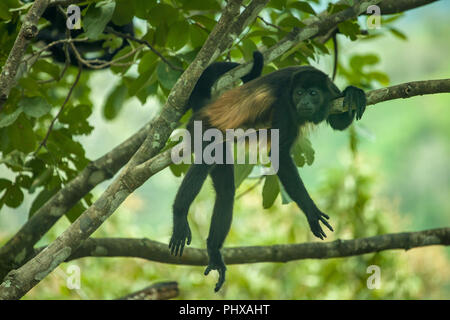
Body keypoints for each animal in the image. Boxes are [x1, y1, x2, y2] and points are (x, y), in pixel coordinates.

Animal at [169, 52, 366, 292]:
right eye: (299, 93)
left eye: (313, 93)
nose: (304, 102)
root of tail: (204, 109)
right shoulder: (285, 104)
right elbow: (279, 154)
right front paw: (311, 212)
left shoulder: (331, 92)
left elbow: (338, 122)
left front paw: (353, 93)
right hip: (200, 129)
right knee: (204, 163)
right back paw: (180, 215)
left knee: (226, 191)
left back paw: (215, 253)